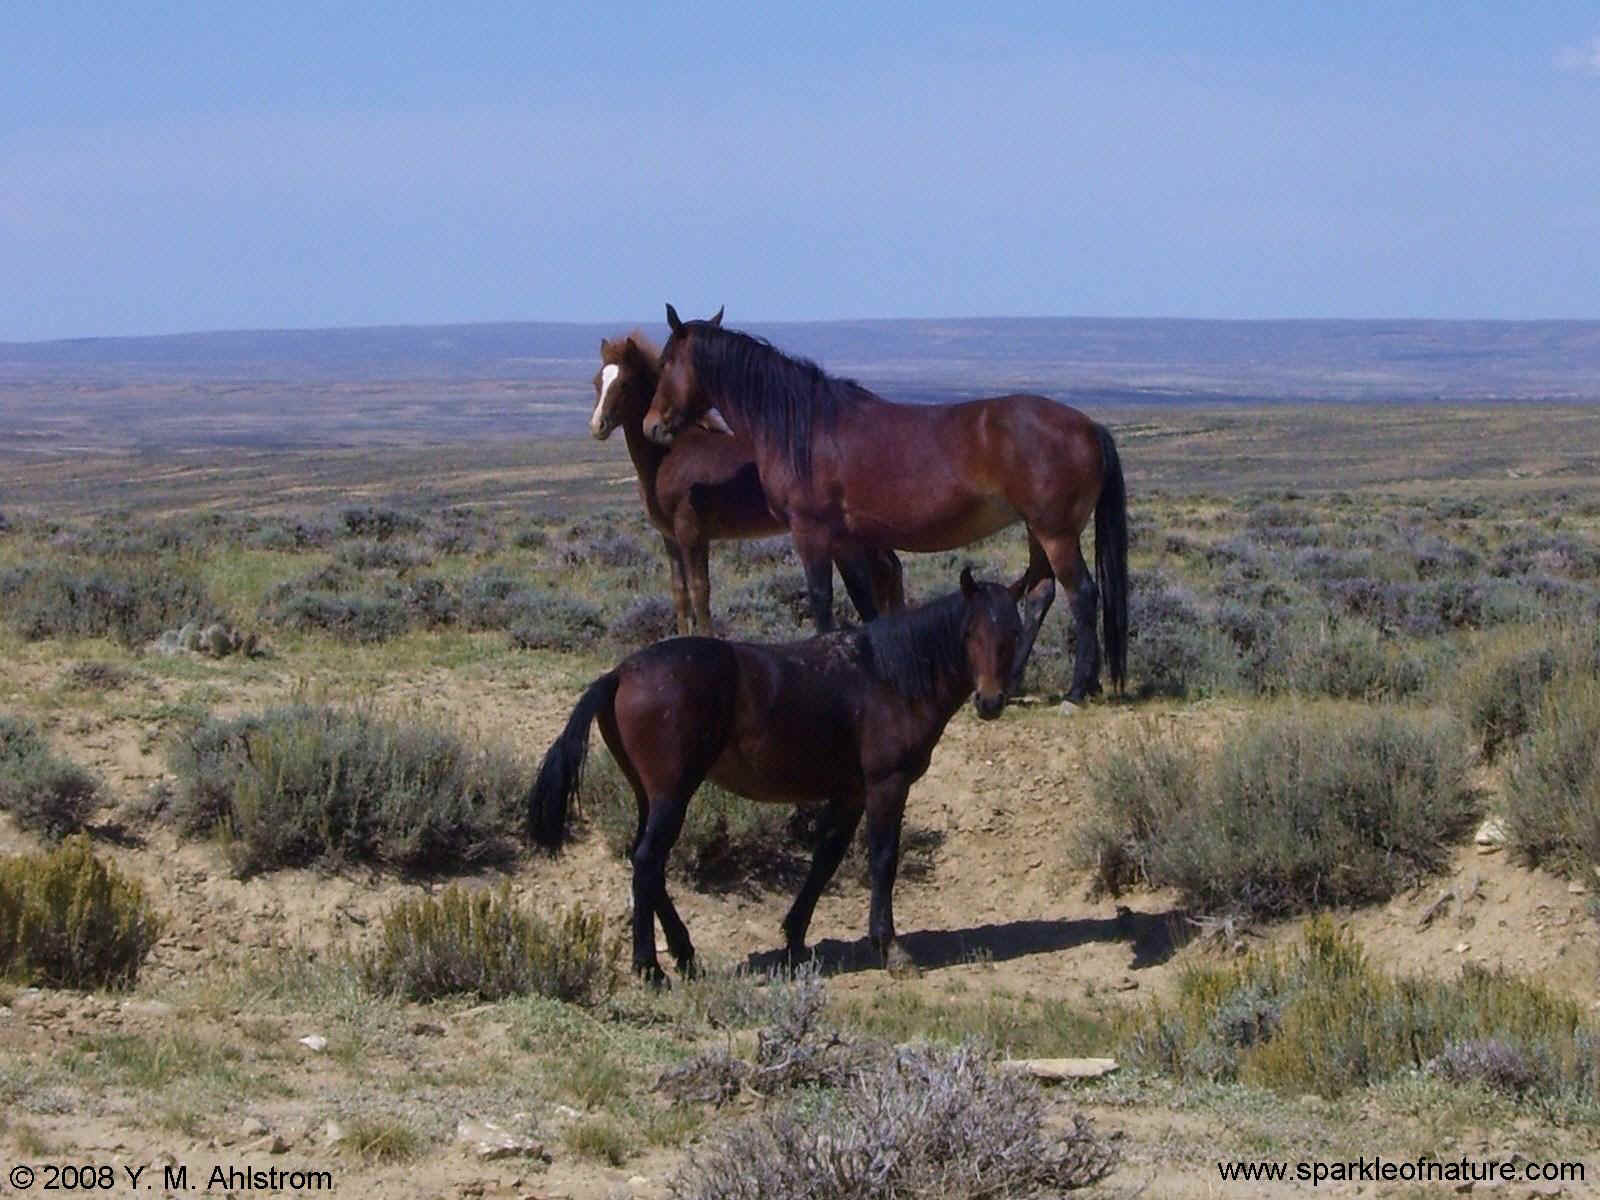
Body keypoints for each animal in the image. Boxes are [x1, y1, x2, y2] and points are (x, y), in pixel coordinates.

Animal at [531, 569, 1017, 985]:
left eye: (1013, 633)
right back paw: (650, 967)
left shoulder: (850, 793)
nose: (990, 701)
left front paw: (795, 938)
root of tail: (619, 673)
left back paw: (684, 953)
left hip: (647, 795)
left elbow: (825, 860)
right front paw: (890, 948)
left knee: (644, 862)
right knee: (648, 862)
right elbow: (883, 861)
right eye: (970, 633)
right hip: (672, 794)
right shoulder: (887, 786)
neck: (888, 676)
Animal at [595, 324, 908, 633]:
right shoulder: (669, 538)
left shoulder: (691, 534)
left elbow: (700, 592)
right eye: (597, 382)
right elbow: (680, 595)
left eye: (624, 384)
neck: (668, 457)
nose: (597, 425)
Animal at [643, 305, 1132, 704]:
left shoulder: (810, 531)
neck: (804, 429)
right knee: (1041, 595)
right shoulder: (846, 539)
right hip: (1039, 530)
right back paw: (1016, 683)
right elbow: (864, 601)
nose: (651, 427)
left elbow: (822, 599)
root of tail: (1089, 427)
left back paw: (1076, 690)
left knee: (1082, 594)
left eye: (665, 362)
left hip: (1056, 532)